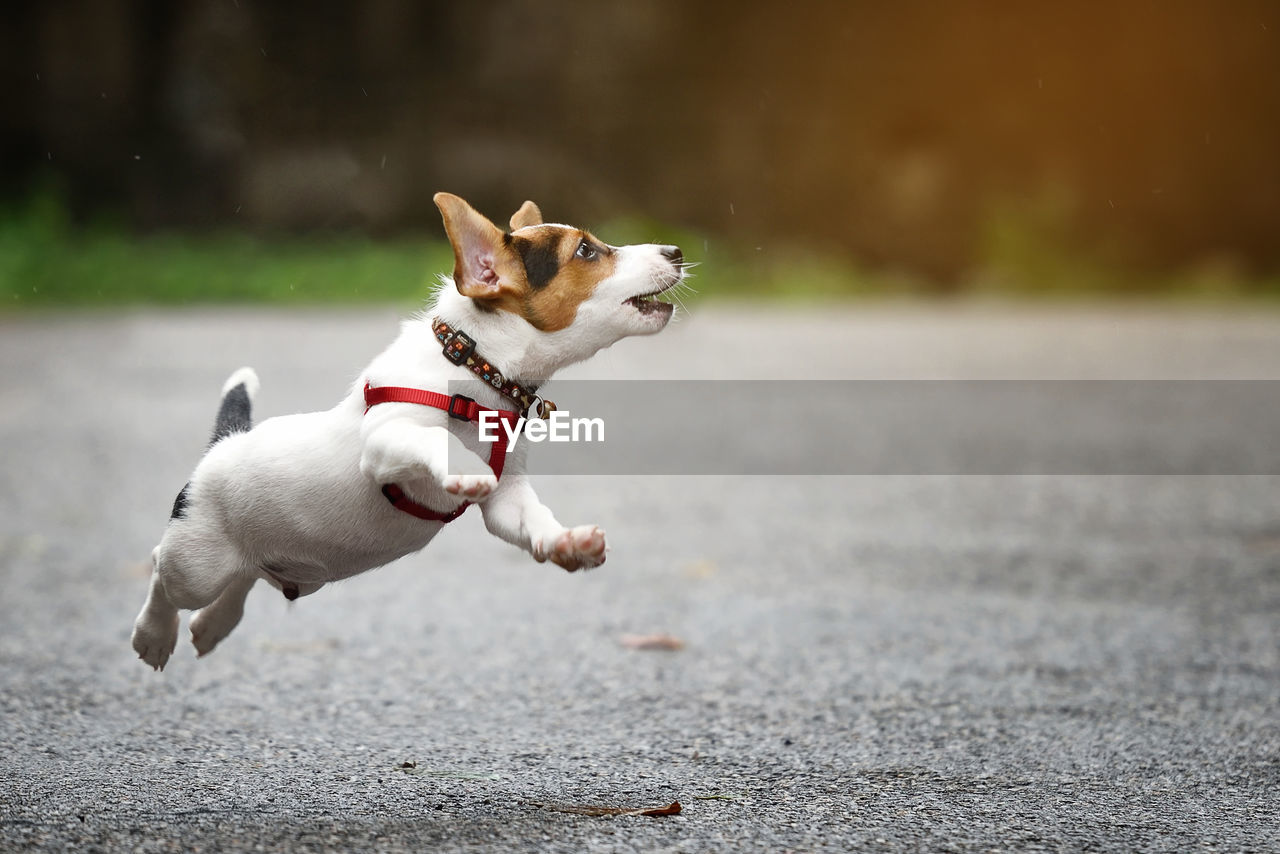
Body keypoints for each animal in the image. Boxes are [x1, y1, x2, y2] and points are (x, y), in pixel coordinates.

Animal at [131, 192, 686, 665]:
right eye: (587, 251)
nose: (677, 251)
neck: (476, 365)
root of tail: (223, 444)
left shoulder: (508, 498)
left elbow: (533, 520)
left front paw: (569, 544)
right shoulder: (384, 441)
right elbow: (437, 440)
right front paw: (466, 469)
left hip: (275, 564)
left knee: (242, 580)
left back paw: (212, 626)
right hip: (196, 563)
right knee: (162, 569)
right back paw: (154, 635)